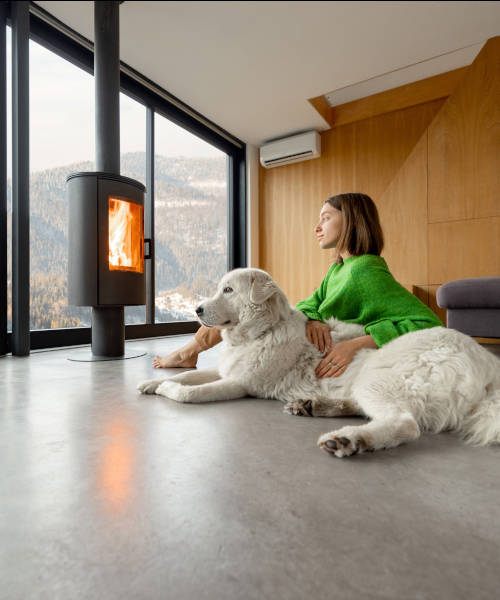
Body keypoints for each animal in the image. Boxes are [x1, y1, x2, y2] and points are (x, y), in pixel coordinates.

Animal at [139, 270, 500, 458]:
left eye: (228, 289)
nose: (197, 310)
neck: (262, 330)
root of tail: (487, 366)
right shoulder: (224, 370)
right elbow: (193, 376)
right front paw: (152, 383)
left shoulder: (239, 384)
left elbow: (188, 392)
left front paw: (167, 386)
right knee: (363, 407)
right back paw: (312, 405)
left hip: (378, 377)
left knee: (404, 424)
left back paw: (350, 440)